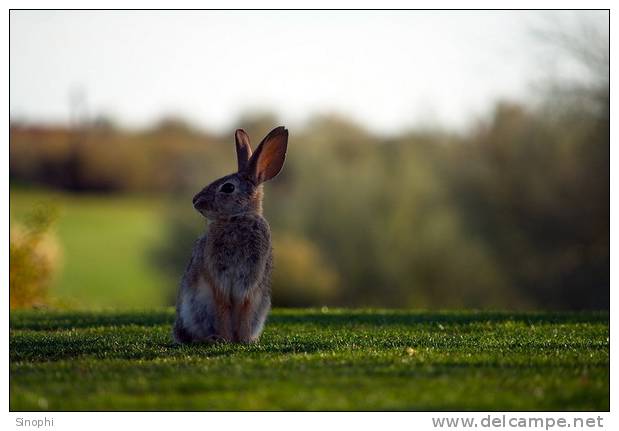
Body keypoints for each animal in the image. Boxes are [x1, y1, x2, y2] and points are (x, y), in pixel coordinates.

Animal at [173, 125, 290, 344]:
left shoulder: (250, 281)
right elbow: (223, 307)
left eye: (228, 187)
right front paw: (225, 339)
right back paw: (210, 338)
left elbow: (243, 307)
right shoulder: (218, 279)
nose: (195, 201)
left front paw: (244, 340)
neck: (237, 218)